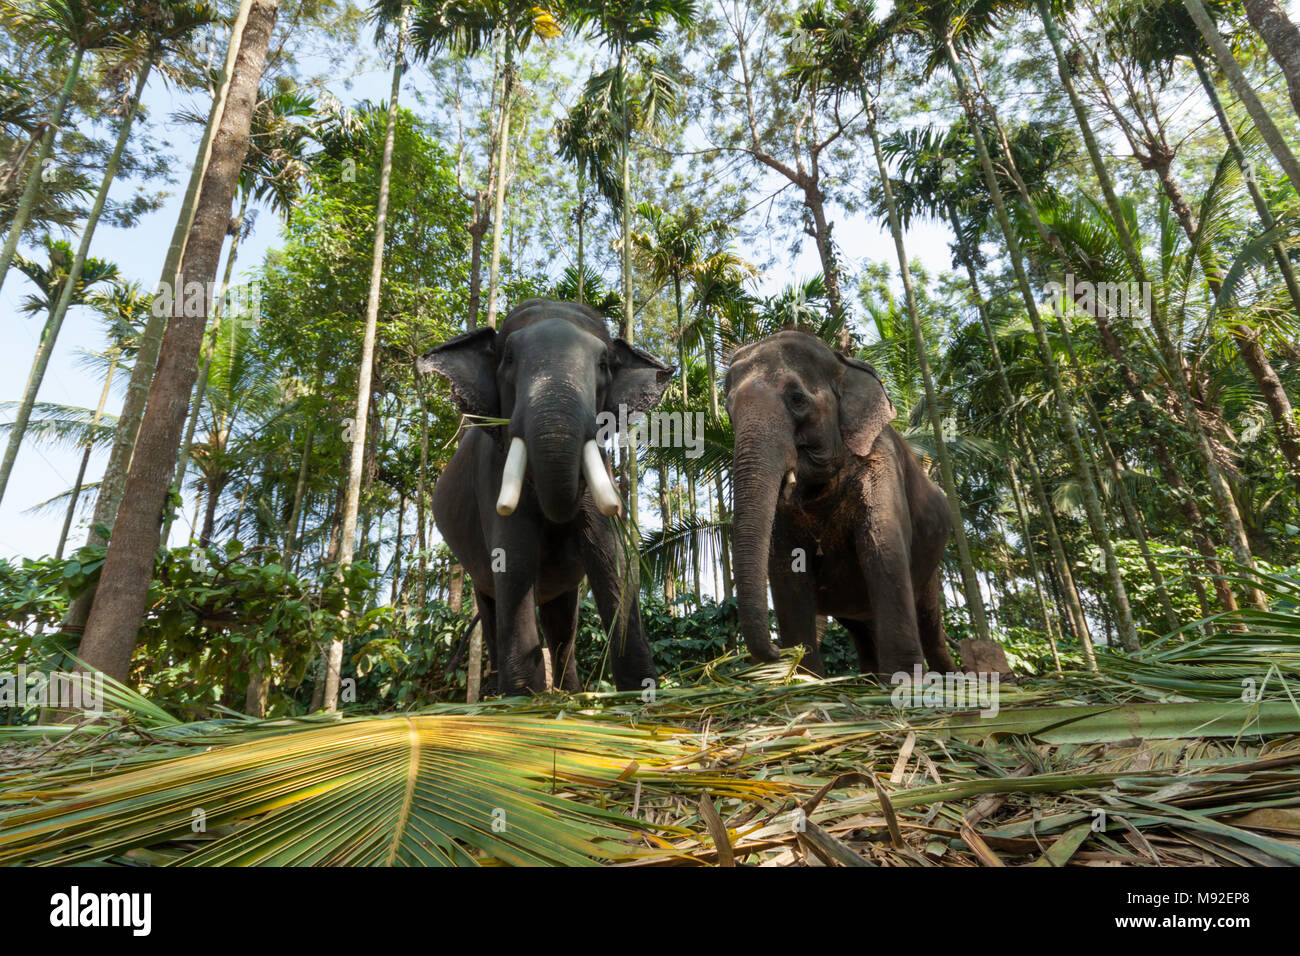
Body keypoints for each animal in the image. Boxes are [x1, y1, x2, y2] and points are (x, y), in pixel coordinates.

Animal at [421, 299, 676, 697]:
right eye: (509, 358)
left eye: (604, 365)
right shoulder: (492, 473)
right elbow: (513, 558)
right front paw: (524, 698)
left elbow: (611, 559)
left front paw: (641, 692)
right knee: (491, 608)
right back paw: (498, 694)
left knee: (561, 624)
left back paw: (568, 693)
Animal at [728, 332, 961, 676]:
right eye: (729, 411)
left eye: (797, 399)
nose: (775, 650)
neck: (842, 363)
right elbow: (786, 569)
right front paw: (805, 678)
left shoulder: (881, 463)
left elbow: (883, 549)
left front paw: (905, 681)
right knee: (862, 631)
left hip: (932, 566)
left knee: (928, 619)